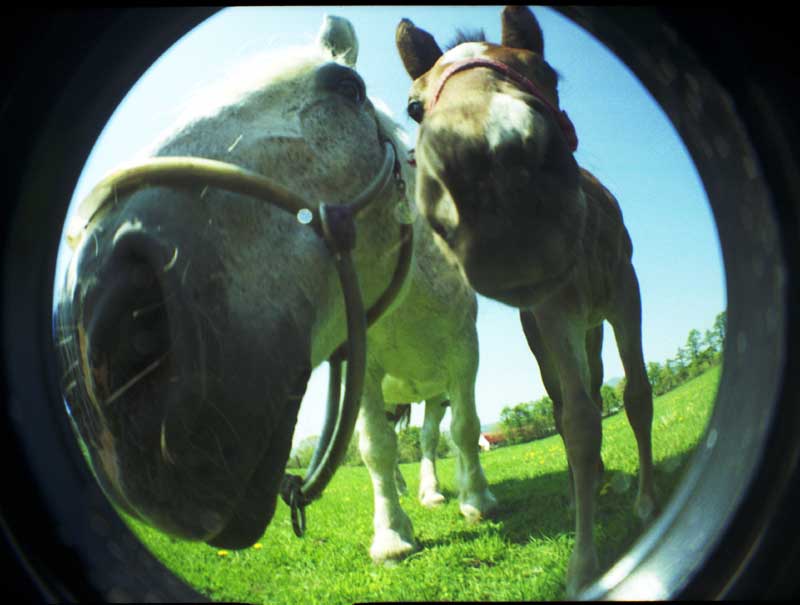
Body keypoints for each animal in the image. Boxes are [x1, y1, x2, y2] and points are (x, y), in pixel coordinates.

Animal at [56, 14, 494, 564]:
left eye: (348, 88)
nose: (103, 328)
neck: (408, 305)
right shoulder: (366, 369)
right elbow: (376, 447)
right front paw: (392, 533)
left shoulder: (464, 357)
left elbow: (465, 430)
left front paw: (478, 501)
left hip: (433, 391)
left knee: (436, 437)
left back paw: (437, 490)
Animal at [398, 5, 656, 596]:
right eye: (414, 106)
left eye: (545, 72)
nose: (490, 163)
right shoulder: (552, 311)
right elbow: (577, 420)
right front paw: (583, 563)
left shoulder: (626, 293)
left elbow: (635, 396)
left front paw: (647, 503)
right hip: (547, 338)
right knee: (565, 403)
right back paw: (583, 485)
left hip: (595, 327)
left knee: (596, 381)